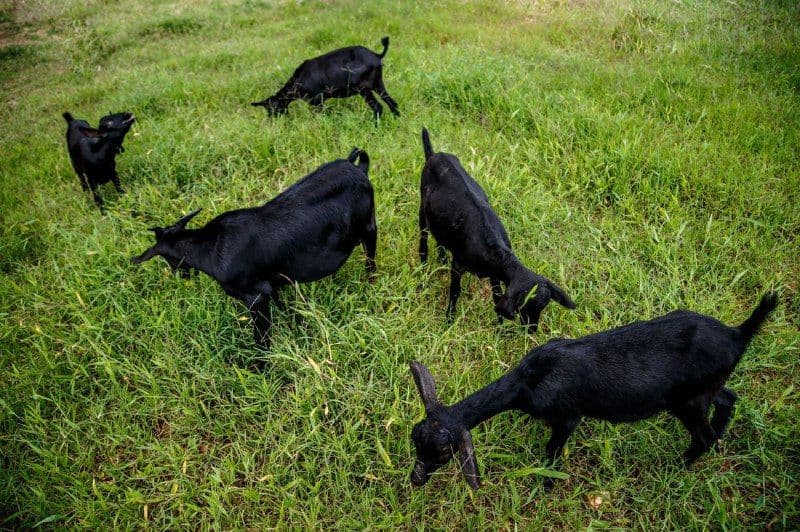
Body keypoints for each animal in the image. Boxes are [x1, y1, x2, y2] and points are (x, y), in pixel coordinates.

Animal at [132, 148, 378, 352]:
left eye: (167, 258)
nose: (179, 274)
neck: (210, 246)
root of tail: (357, 167)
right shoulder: (274, 282)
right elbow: (284, 307)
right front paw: (297, 325)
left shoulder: (256, 296)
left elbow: (262, 337)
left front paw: (261, 366)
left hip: (369, 226)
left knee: (371, 259)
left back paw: (370, 285)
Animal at [250, 36, 400, 120]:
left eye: (273, 109)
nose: (272, 122)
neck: (298, 81)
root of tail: (376, 55)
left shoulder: (318, 100)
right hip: (378, 83)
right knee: (391, 102)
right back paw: (397, 120)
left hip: (364, 88)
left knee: (378, 107)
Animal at [410, 290, 780, 490]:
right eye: (415, 438)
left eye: (443, 453)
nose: (415, 478)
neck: (529, 380)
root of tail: (738, 334)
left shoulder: (567, 416)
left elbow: (552, 450)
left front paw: (546, 483)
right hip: (705, 389)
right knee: (728, 399)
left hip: (688, 401)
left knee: (702, 437)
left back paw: (675, 466)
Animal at [418, 129, 576, 328]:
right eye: (523, 303)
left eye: (543, 305)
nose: (532, 329)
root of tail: (435, 155)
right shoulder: (458, 265)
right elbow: (455, 292)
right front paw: (449, 320)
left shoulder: (495, 274)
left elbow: (497, 296)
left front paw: (500, 327)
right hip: (422, 210)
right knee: (423, 242)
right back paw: (422, 271)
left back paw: (441, 258)